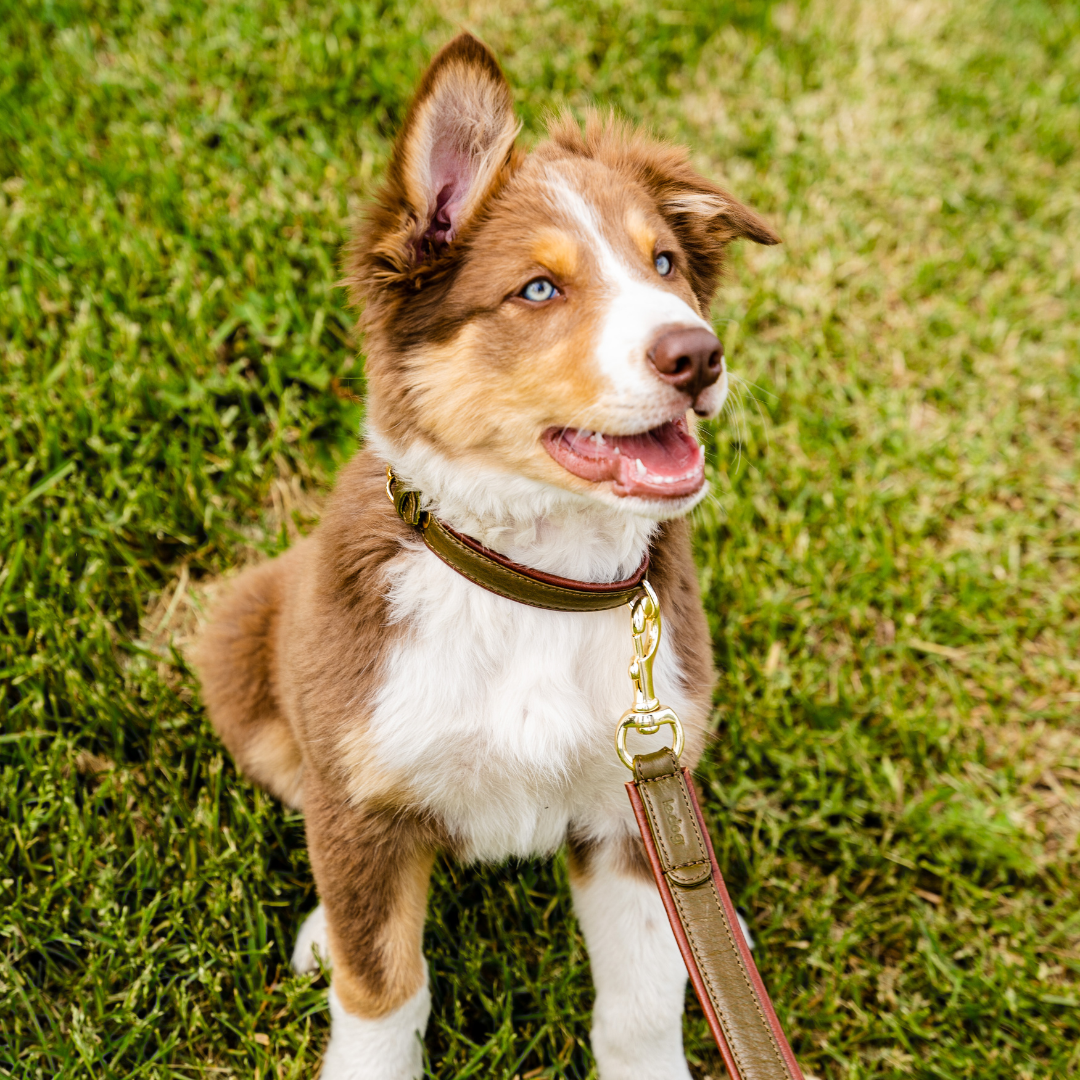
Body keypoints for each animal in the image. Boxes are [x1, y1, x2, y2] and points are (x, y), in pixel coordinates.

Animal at [194, 31, 781, 1080]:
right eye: (538, 289)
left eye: (666, 262)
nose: (698, 354)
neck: (536, 583)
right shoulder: (362, 792)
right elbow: (382, 986)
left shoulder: (631, 805)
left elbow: (640, 1001)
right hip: (242, 642)